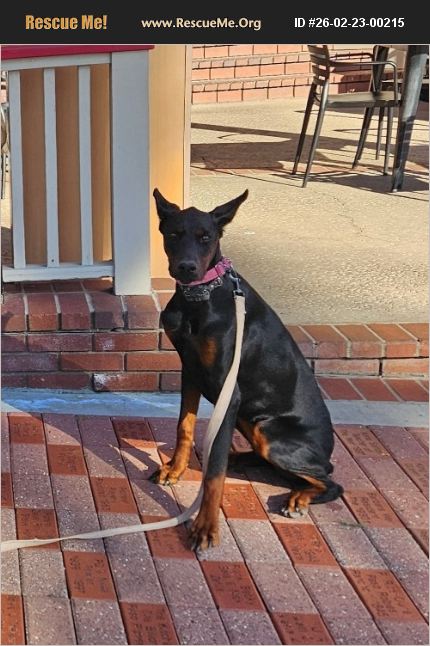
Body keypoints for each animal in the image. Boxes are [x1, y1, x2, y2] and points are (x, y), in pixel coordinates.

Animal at [152, 188, 343, 550]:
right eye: (173, 234)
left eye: (206, 237)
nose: (187, 268)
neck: (199, 299)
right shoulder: (190, 372)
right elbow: (184, 427)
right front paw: (175, 470)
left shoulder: (230, 391)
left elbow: (214, 476)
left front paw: (205, 528)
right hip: (249, 419)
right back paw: (235, 457)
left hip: (269, 431)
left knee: (330, 481)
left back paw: (298, 497)